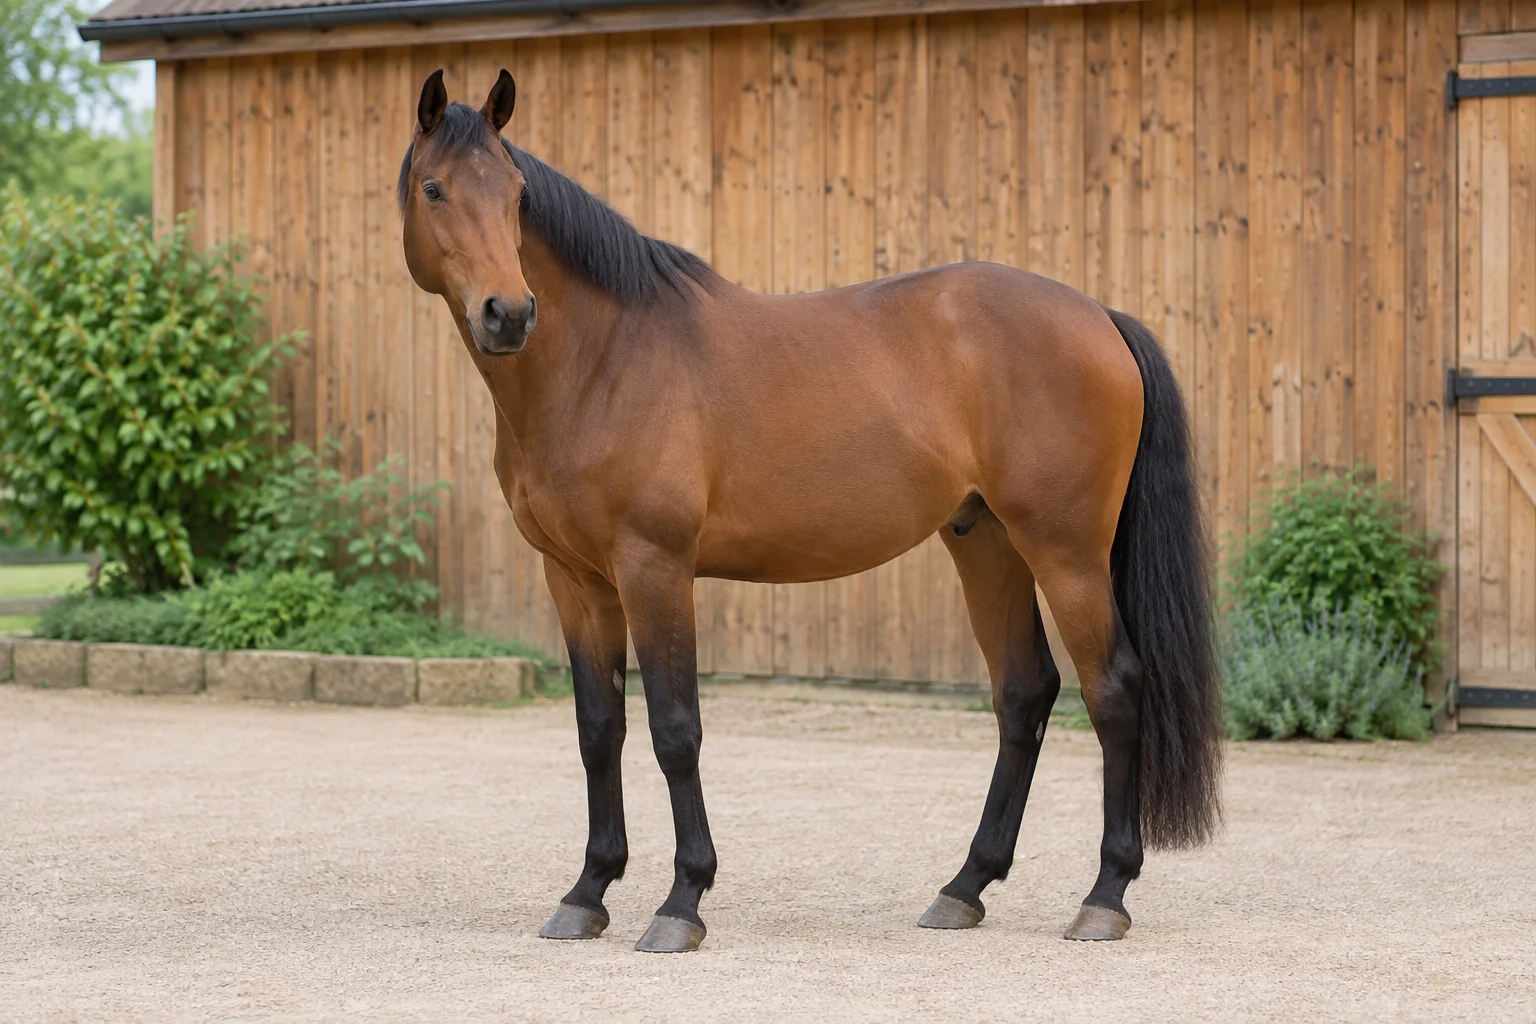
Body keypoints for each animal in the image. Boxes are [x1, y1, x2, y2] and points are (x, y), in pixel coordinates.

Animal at [398, 68, 1222, 953]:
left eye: (517, 195)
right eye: (435, 188)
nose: (509, 313)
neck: (602, 361)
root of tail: (1100, 316)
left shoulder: (655, 568)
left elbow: (675, 730)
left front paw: (681, 901)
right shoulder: (575, 580)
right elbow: (599, 730)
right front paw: (587, 892)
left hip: (1065, 551)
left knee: (1114, 690)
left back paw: (1104, 895)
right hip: (986, 541)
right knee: (1024, 693)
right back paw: (964, 886)